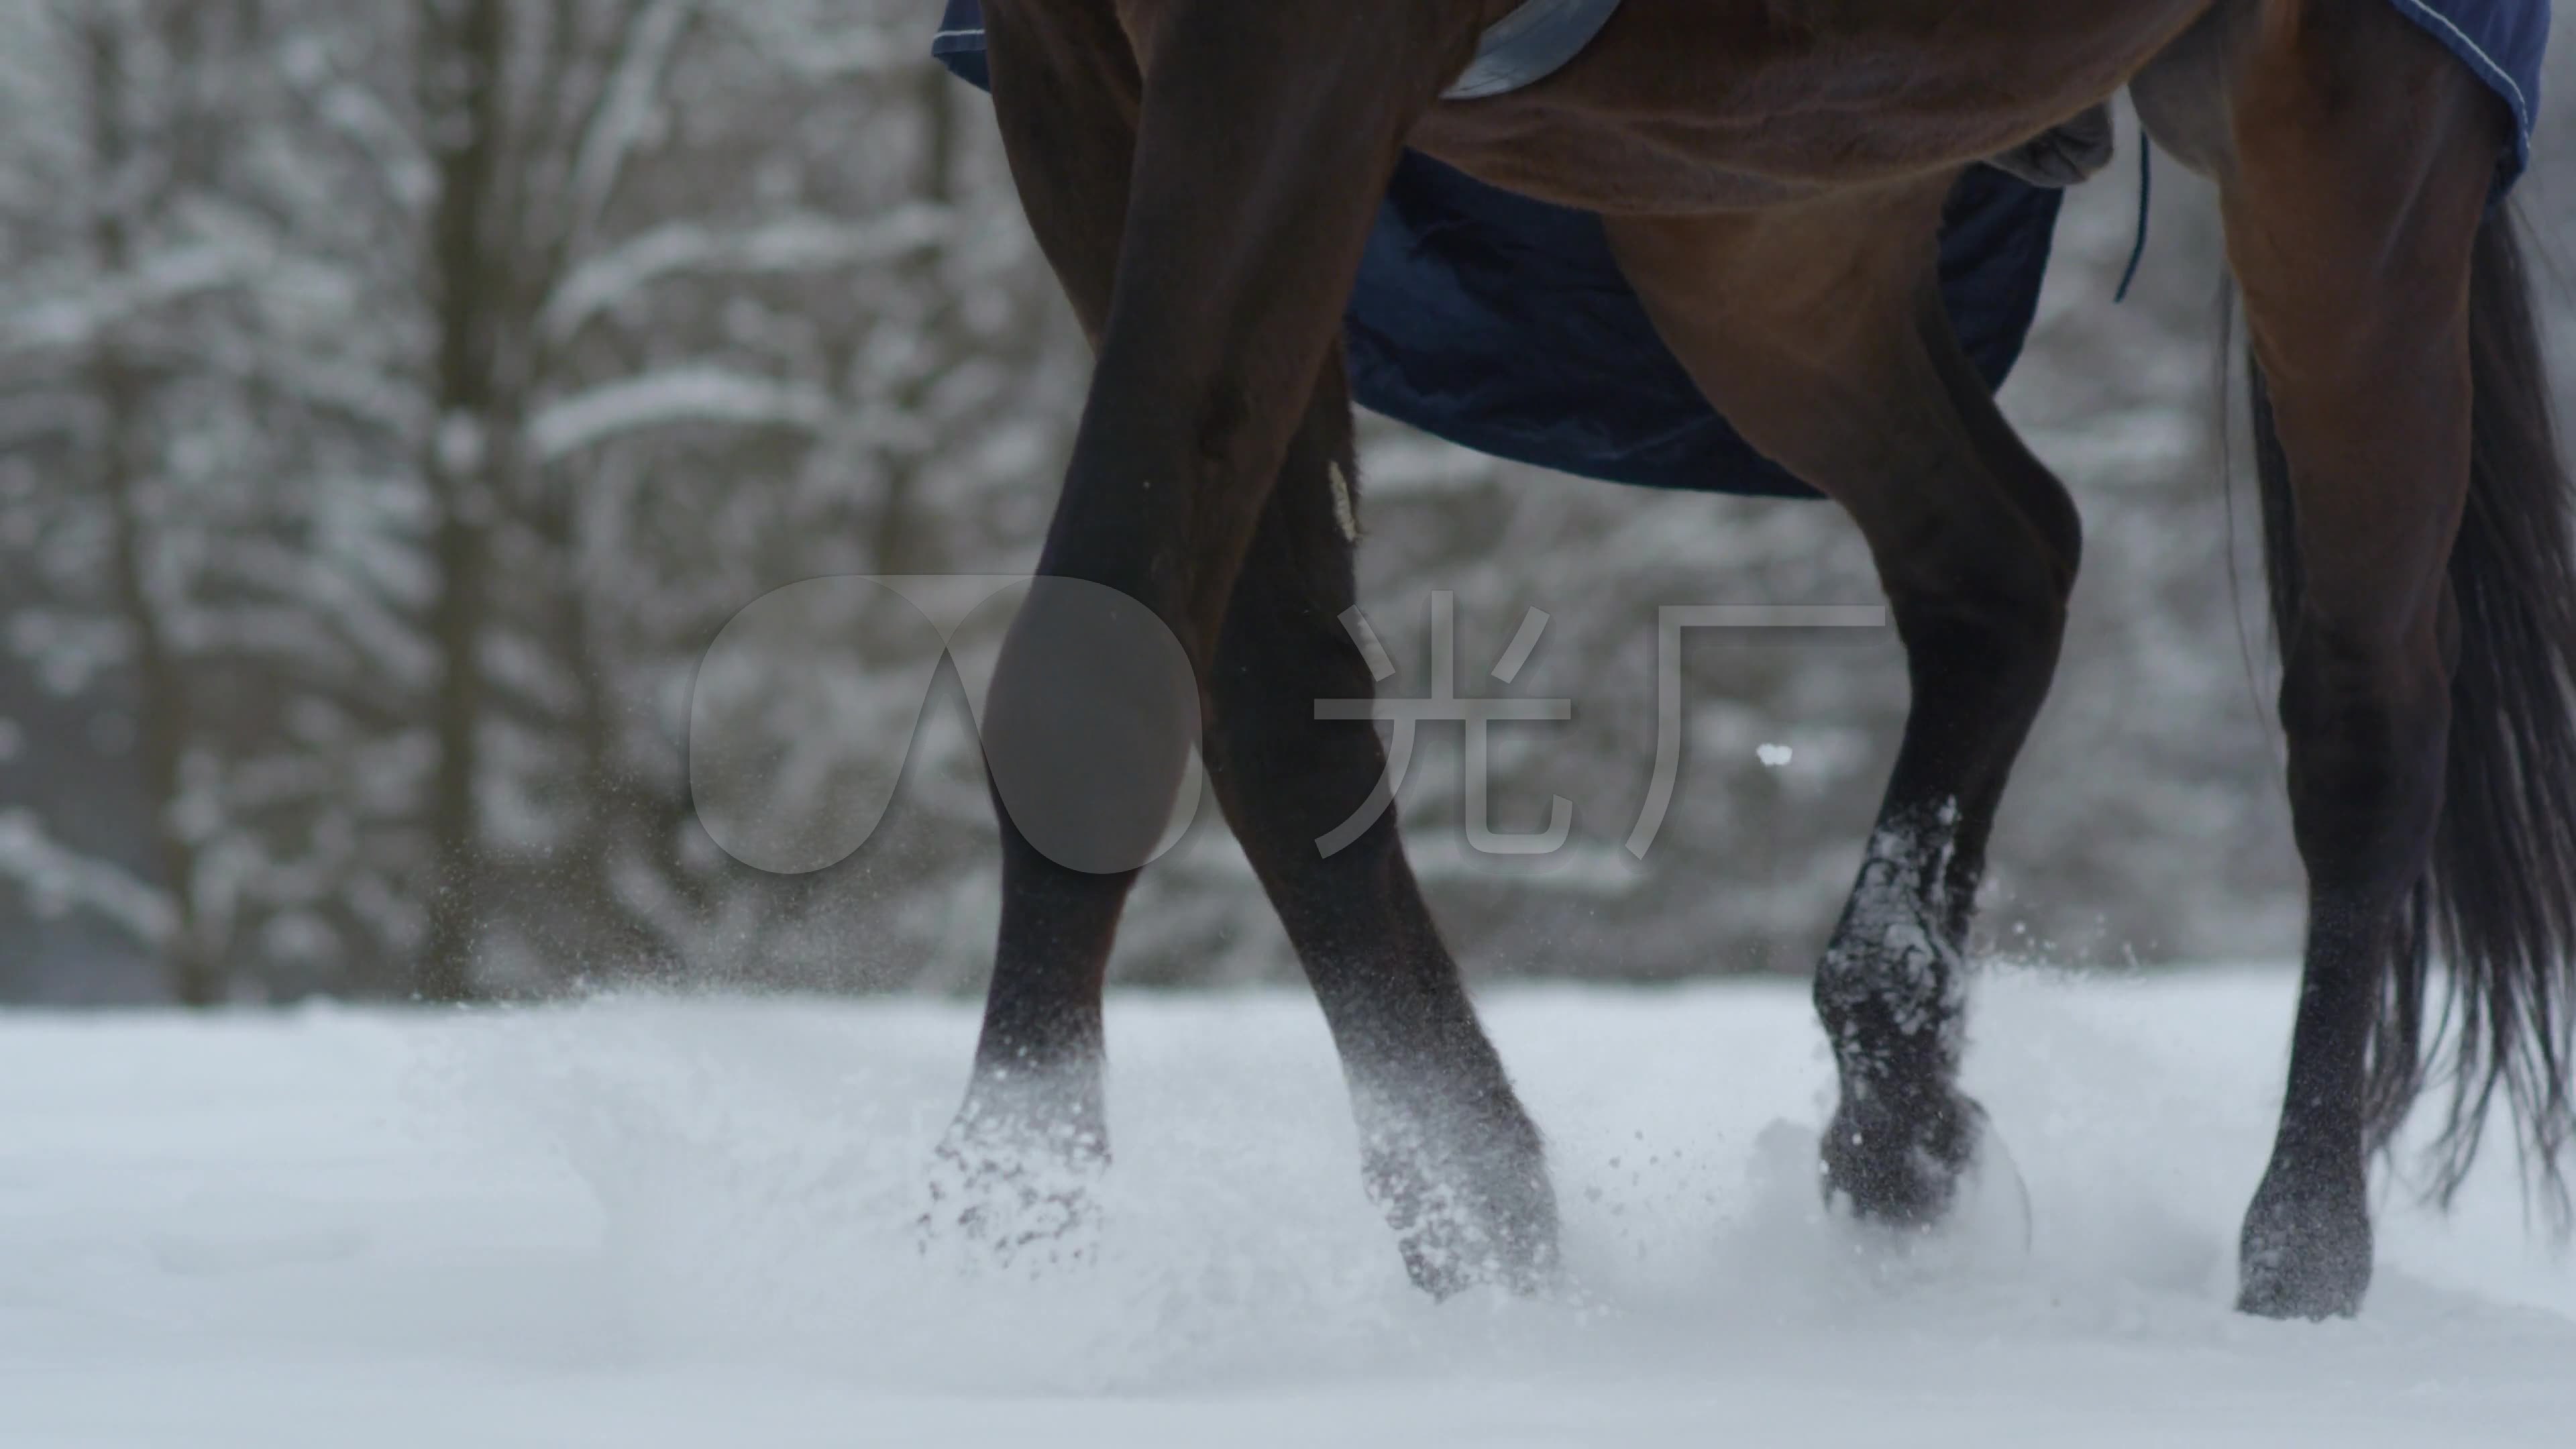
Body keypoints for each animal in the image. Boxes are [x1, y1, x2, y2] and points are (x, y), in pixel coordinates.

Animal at [932, 0, 2576, 1320]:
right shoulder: (1078, 69)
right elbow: (1272, 688)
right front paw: (1478, 1215)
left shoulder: (1290, 55)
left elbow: (1106, 664)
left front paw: (1018, 1223)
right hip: (1769, 200)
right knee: (2002, 561)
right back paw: (1897, 1107)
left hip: (2352, 146)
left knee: (2367, 717)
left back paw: (2302, 1254)